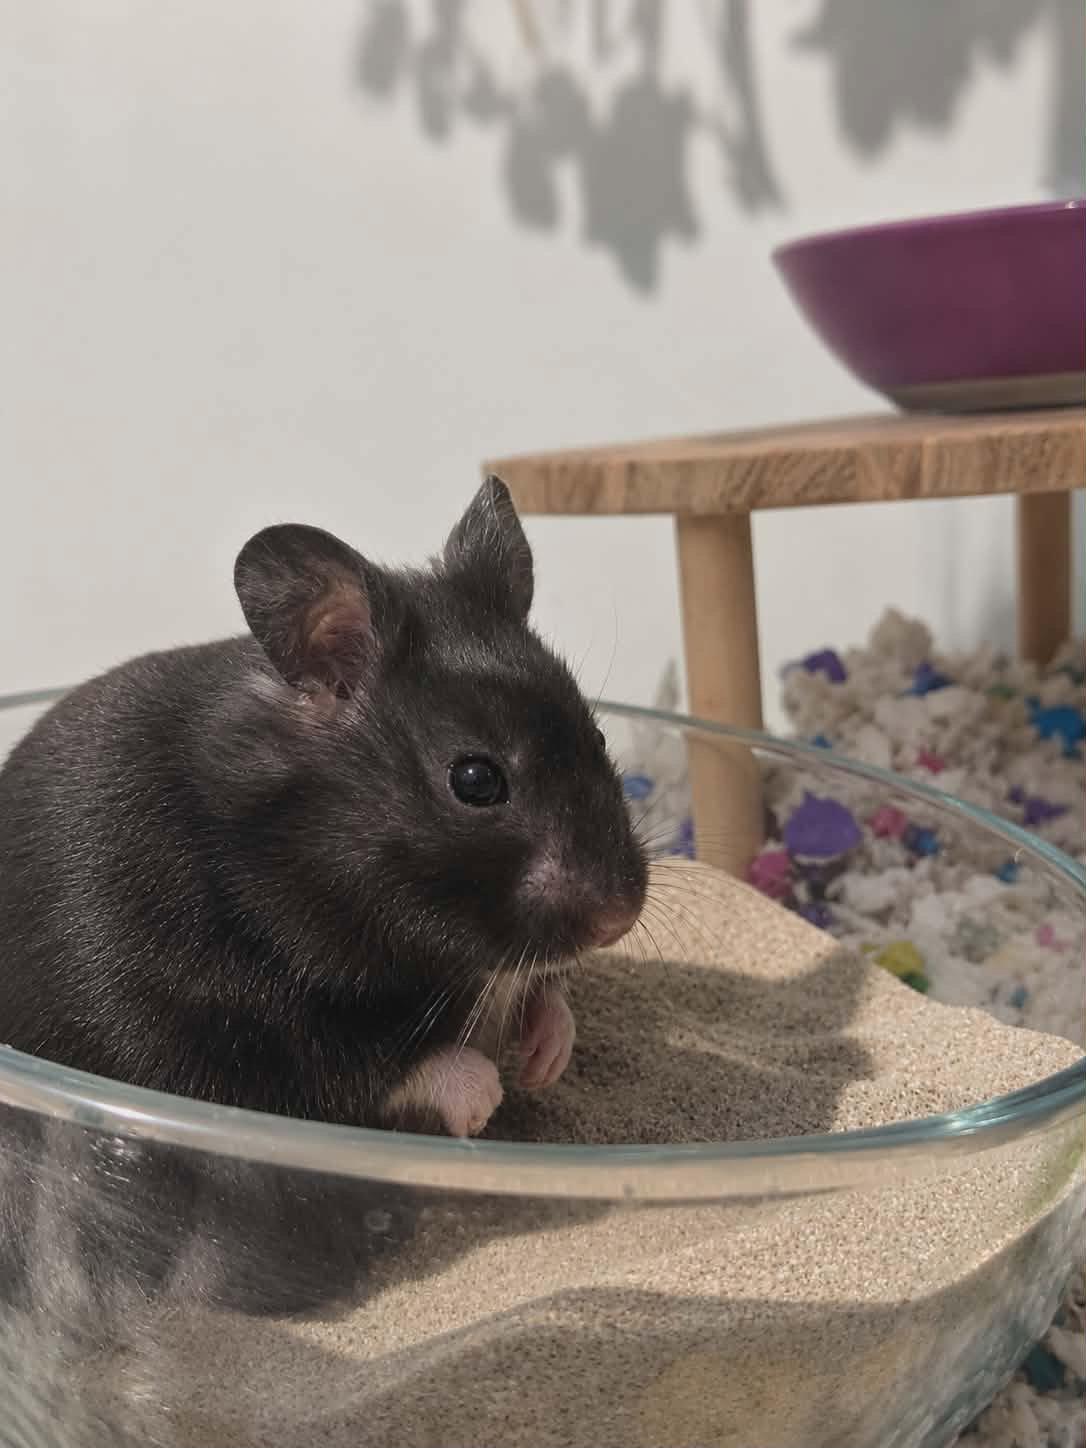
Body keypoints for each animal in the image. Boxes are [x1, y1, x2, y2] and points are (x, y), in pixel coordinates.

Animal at [0, 478, 647, 1139]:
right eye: (475, 780)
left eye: (599, 737)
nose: (617, 920)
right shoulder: (200, 1025)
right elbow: (349, 1067)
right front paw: (484, 1097)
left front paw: (547, 1059)